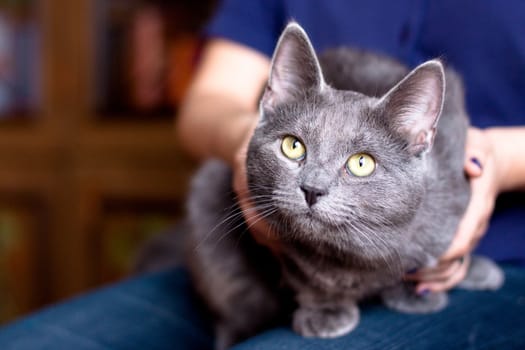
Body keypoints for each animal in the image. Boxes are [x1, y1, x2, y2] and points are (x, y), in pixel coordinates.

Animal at [181, 23, 504, 348]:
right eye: (292, 146)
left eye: (362, 163)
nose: (312, 189)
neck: (360, 255)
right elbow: (311, 277)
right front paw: (326, 311)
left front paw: (419, 289)